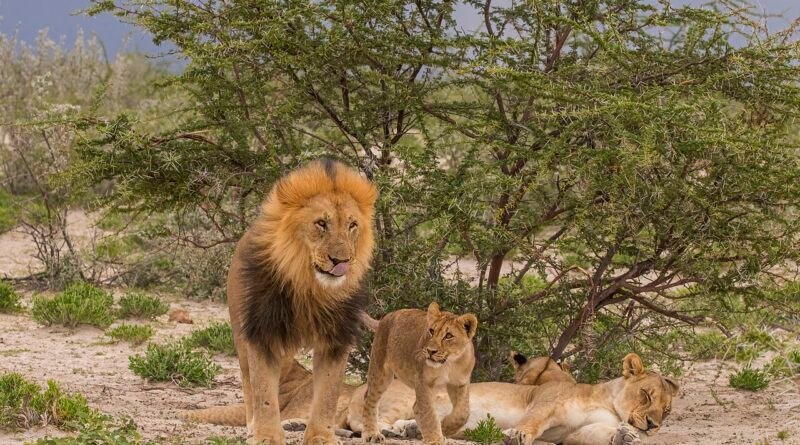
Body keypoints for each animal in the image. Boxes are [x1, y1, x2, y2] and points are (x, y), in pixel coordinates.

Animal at [189, 159, 377, 445]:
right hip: (240, 333)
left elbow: (327, 393)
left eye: (352, 225)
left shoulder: (335, 338)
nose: (341, 261)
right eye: (321, 223)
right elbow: (264, 392)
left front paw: (322, 436)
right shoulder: (262, 332)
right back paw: (253, 425)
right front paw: (266, 435)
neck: (309, 285)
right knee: (248, 384)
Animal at [360, 302, 478, 445]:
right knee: (369, 399)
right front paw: (434, 439)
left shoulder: (460, 383)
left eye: (449, 336)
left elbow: (463, 412)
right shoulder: (423, 382)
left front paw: (445, 428)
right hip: (380, 372)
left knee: (416, 407)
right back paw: (372, 434)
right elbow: (429, 413)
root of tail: (385, 317)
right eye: (431, 331)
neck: (449, 364)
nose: (430, 351)